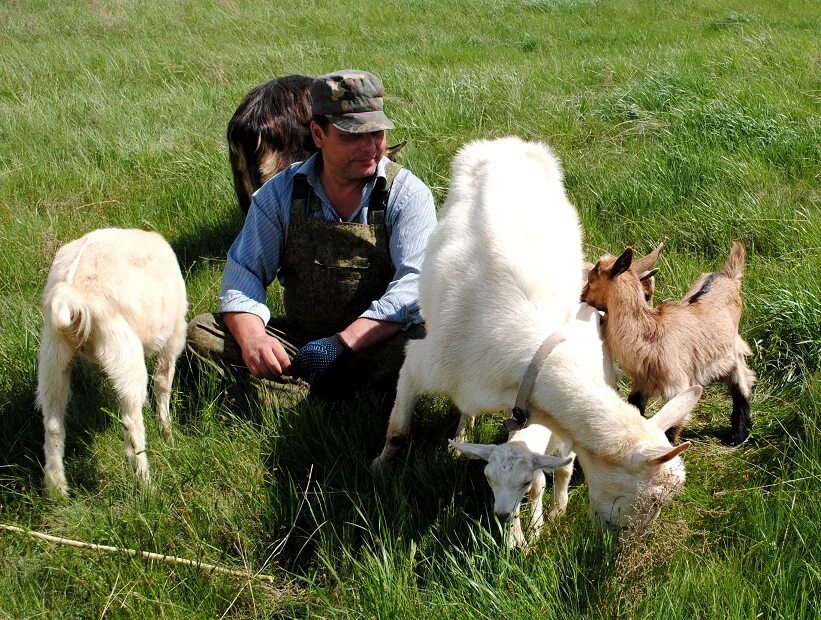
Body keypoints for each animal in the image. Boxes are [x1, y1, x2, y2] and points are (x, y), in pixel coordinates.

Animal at [36, 228, 187, 494]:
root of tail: (71, 293)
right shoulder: (175, 335)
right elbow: (162, 383)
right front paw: (167, 431)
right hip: (124, 351)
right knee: (131, 424)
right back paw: (146, 485)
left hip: (53, 356)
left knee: (53, 425)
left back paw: (57, 491)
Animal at [372, 138, 700, 532]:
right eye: (652, 499)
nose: (626, 542)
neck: (522, 351)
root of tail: (508, 142)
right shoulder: (419, 363)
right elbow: (397, 431)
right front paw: (378, 470)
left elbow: (539, 467)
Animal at [584, 242, 756, 446]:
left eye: (591, 279)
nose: (581, 297)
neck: (651, 334)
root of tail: (727, 275)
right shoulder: (641, 382)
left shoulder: (677, 385)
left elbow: (672, 426)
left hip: (734, 350)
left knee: (742, 383)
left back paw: (737, 436)